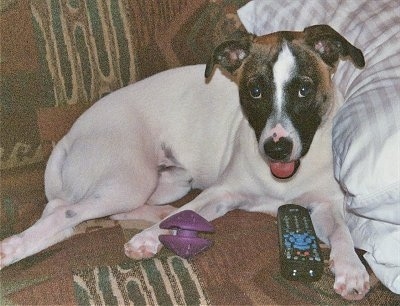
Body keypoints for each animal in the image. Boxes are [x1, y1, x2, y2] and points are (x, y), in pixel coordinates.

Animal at [0, 25, 368, 300]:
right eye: (255, 91)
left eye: (304, 90)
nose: (276, 148)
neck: (284, 179)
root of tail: (68, 136)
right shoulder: (221, 192)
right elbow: (188, 211)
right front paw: (148, 238)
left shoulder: (324, 206)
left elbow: (341, 231)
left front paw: (351, 268)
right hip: (130, 181)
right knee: (64, 212)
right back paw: (12, 249)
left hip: (170, 182)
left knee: (87, 216)